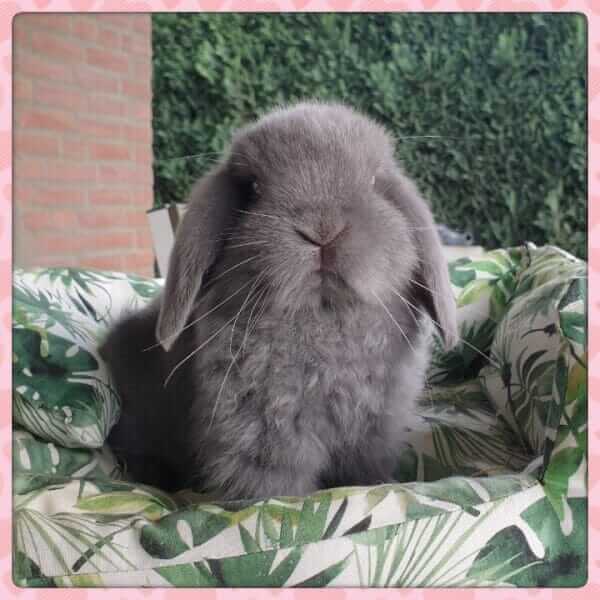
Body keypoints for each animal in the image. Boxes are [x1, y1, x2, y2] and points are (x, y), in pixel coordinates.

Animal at [100, 101, 458, 500]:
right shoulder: (263, 435)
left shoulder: (373, 435)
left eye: (374, 184)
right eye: (254, 188)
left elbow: (364, 475)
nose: (322, 229)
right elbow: (274, 489)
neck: (323, 320)